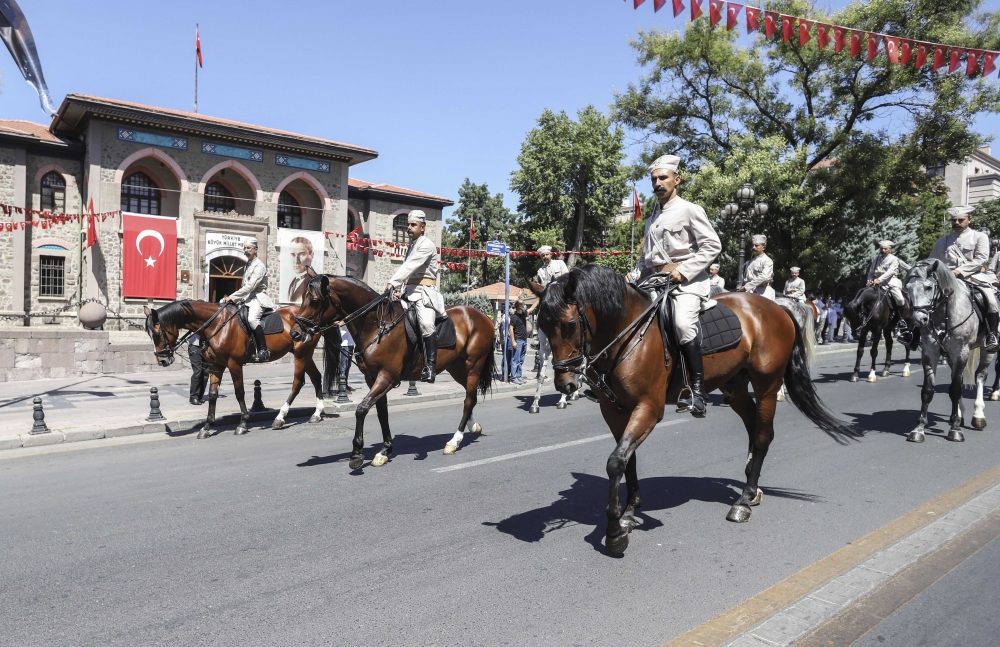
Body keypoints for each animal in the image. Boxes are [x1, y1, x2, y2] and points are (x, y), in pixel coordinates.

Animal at [144, 302, 332, 438]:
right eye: (149, 334)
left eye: (158, 334)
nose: (162, 360)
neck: (217, 325)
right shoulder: (215, 366)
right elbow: (213, 395)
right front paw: (207, 426)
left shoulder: (234, 364)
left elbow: (239, 392)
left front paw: (242, 424)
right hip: (305, 355)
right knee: (316, 377)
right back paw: (317, 413)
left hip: (301, 354)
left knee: (297, 383)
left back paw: (280, 418)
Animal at [292, 274, 498, 470]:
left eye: (315, 300)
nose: (295, 333)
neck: (376, 325)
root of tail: (484, 317)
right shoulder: (372, 378)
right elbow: (382, 412)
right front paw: (385, 450)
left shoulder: (387, 377)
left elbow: (362, 409)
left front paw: (357, 454)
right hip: (457, 368)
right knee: (471, 397)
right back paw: (472, 427)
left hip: (473, 366)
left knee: (469, 400)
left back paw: (454, 441)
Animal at [532, 266, 860, 556]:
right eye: (541, 326)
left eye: (570, 324)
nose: (564, 384)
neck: (629, 334)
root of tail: (777, 307)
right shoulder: (614, 411)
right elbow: (627, 460)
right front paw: (629, 512)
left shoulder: (648, 408)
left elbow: (615, 462)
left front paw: (614, 532)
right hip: (735, 388)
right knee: (754, 428)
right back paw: (751, 488)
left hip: (767, 385)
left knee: (763, 436)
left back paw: (743, 500)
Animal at [904, 260, 996, 442]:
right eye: (908, 288)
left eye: (928, 287)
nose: (919, 319)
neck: (943, 312)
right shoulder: (930, 351)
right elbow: (928, 390)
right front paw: (919, 429)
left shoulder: (960, 351)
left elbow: (955, 389)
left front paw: (955, 429)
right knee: (958, 378)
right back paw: (959, 415)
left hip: (987, 350)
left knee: (980, 376)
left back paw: (978, 415)